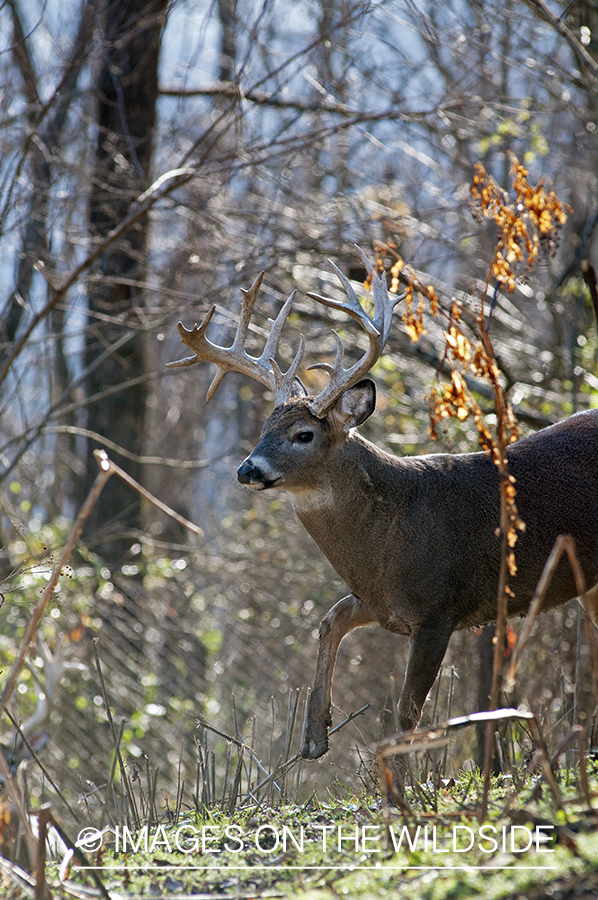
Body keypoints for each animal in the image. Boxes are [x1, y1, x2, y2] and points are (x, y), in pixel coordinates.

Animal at [168, 253, 598, 760]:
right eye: (264, 428)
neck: (395, 529)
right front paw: (314, 733)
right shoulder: (381, 599)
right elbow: (330, 619)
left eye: (304, 435)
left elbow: (406, 716)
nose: (246, 470)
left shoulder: (439, 610)